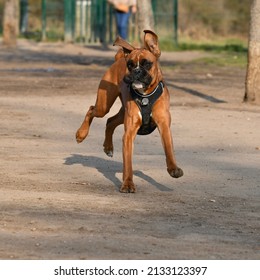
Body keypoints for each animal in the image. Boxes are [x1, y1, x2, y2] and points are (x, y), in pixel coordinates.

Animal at [76, 30, 184, 192]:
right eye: (130, 65)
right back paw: (81, 134)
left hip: (122, 113)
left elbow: (169, 150)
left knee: (110, 121)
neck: (145, 96)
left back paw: (108, 147)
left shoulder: (164, 126)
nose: (136, 71)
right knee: (92, 110)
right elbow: (128, 163)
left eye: (147, 63)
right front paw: (127, 183)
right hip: (104, 105)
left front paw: (173, 169)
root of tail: (119, 58)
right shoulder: (129, 134)